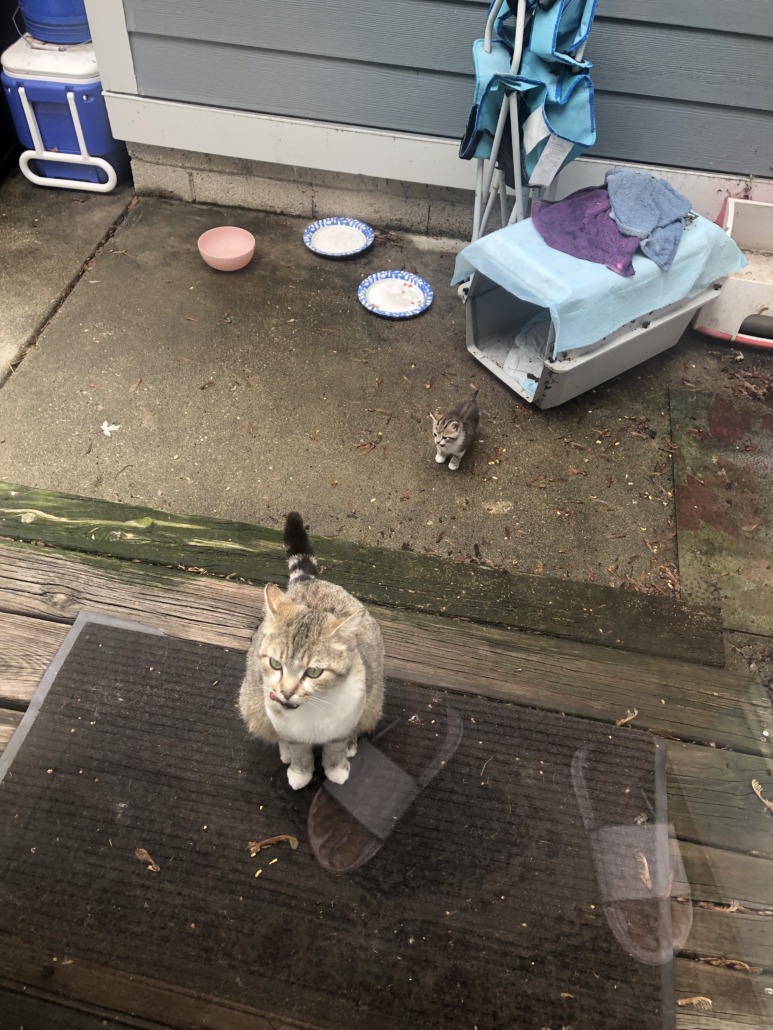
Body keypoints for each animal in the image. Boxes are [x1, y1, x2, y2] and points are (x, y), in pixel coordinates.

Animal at [239, 511, 385, 791]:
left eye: (314, 672)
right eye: (275, 664)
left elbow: (336, 749)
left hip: (373, 700)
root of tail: (309, 582)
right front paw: (300, 772)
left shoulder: (344, 723)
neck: (313, 708)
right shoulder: (286, 727)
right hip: (251, 703)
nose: (286, 693)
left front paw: (336, 769)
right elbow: (298, 752)